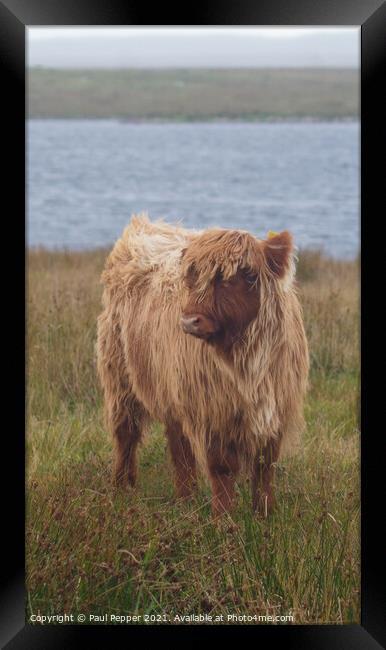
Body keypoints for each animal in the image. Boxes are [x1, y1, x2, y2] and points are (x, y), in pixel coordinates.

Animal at [97, 215, 310, 512]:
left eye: (244, 275)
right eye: (192, 277)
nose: (189, 321)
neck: (246, 363)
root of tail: (142, 225)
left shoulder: (276, 411)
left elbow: (265, 466)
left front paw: (265, 512)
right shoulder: (211, 412)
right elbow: (221, 468)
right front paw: (224, 517)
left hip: (171, 392)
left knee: (179, 446)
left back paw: (185, 499)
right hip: (120, 378)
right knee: (126, 434)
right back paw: (122, 488)